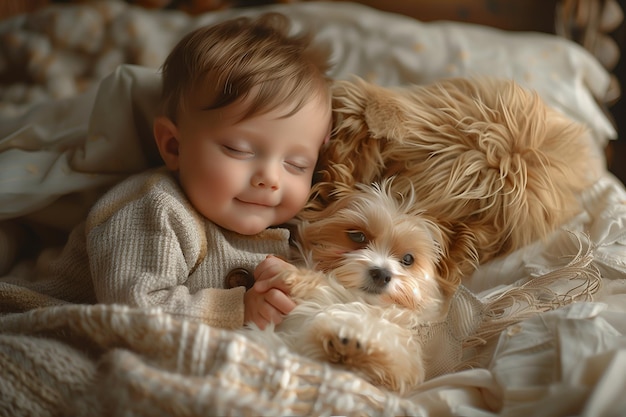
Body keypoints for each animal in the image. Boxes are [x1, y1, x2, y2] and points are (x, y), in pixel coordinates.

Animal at [241, 180, 442, 394]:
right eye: (357, 236)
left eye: (408, 259)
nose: (382, 274)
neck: (356, 299)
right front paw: (288, 276)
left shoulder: (403, 357)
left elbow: (395, 361)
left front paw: (354, 345)